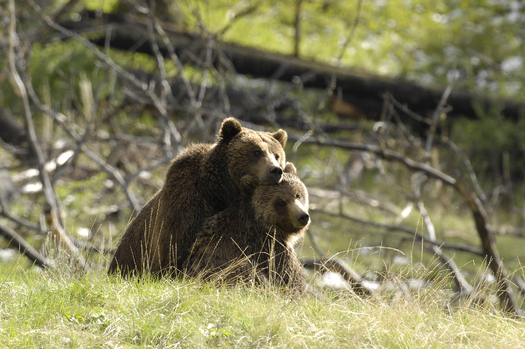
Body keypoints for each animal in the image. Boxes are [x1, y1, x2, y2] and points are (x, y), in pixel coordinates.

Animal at [107, 118, 286, 276]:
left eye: (277, 155)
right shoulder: (187, 205)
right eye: (256, 152)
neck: (221, 190)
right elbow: (177, 249)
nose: (275, 170)